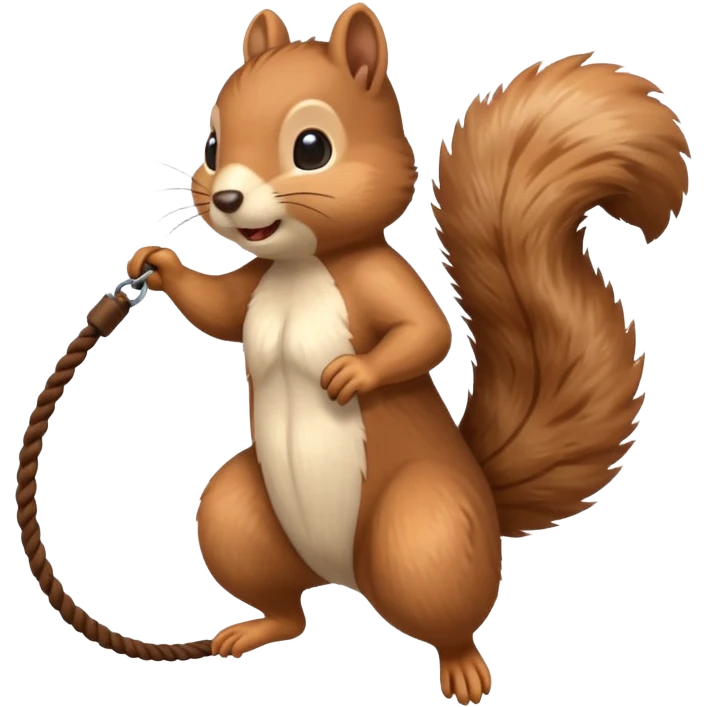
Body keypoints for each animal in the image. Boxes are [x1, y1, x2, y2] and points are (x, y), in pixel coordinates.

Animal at [129, 4, 690, 704]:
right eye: (210, 146)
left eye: (311, 147)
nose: (226, 200)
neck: (303, 266)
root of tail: (343, 576)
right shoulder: (254, 285)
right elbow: (217, 309)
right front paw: (156, 264)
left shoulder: (383, 280)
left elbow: (426, 334)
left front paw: (351, 374)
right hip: (240, 516)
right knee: (289, 609)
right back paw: (256, 629)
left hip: (424, 533)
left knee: (445, 618)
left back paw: (463, 669)